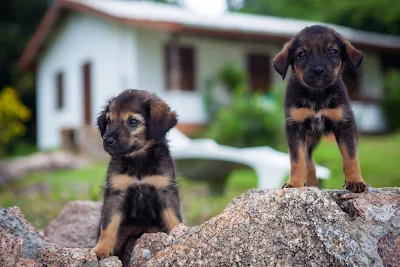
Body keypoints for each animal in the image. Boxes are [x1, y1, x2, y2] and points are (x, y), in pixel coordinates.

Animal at [93, 89, 182, 264]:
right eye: (109, 120)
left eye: (133, 121)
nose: (107, 140)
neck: (138, 160)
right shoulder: (116, 194)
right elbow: (107, 227)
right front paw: (101, 250)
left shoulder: (165, 191)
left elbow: (174, 219)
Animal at [272, 24, 368, 193]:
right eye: (301, 54)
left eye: (333, 51)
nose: (318, 70)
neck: (317, 95)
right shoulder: (295, 127)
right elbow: (296, 160)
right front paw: (295, 183)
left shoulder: (345, 124)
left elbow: (350, 157)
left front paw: (355, 181)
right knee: (309, 162)